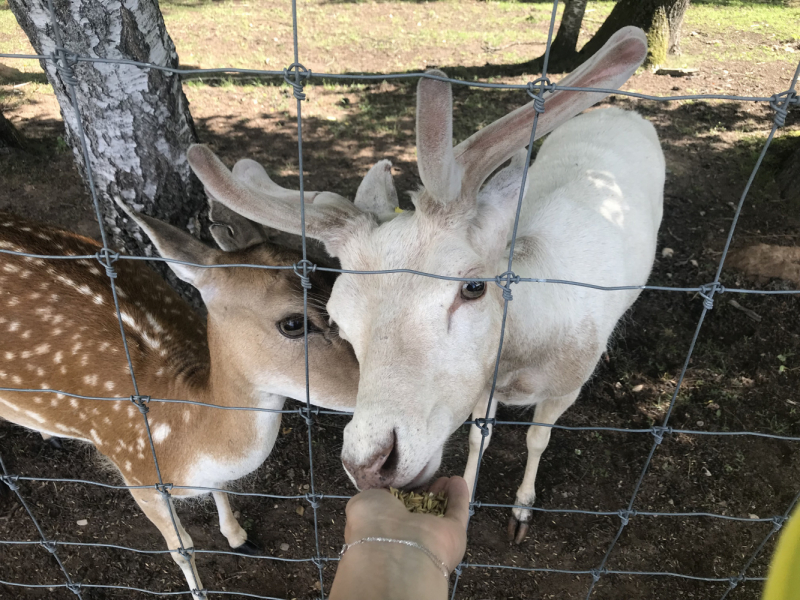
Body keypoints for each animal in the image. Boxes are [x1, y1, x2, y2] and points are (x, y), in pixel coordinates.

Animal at [0, 178, 358, 596]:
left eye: (333, 274)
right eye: (292, 323)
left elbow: (222, 490)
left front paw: (239, 537)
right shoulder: (137, 473)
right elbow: (181, 548)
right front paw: (200, 590)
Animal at [186, 27, 664, 544]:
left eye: (473, 288)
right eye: (338, 317)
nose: (370, 464)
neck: (520, 358)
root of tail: (625, 111)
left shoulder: (566, 385)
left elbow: (538, 437)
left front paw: (521, 511)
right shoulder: (482, 385)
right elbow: (478, 435)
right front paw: (468, 503)